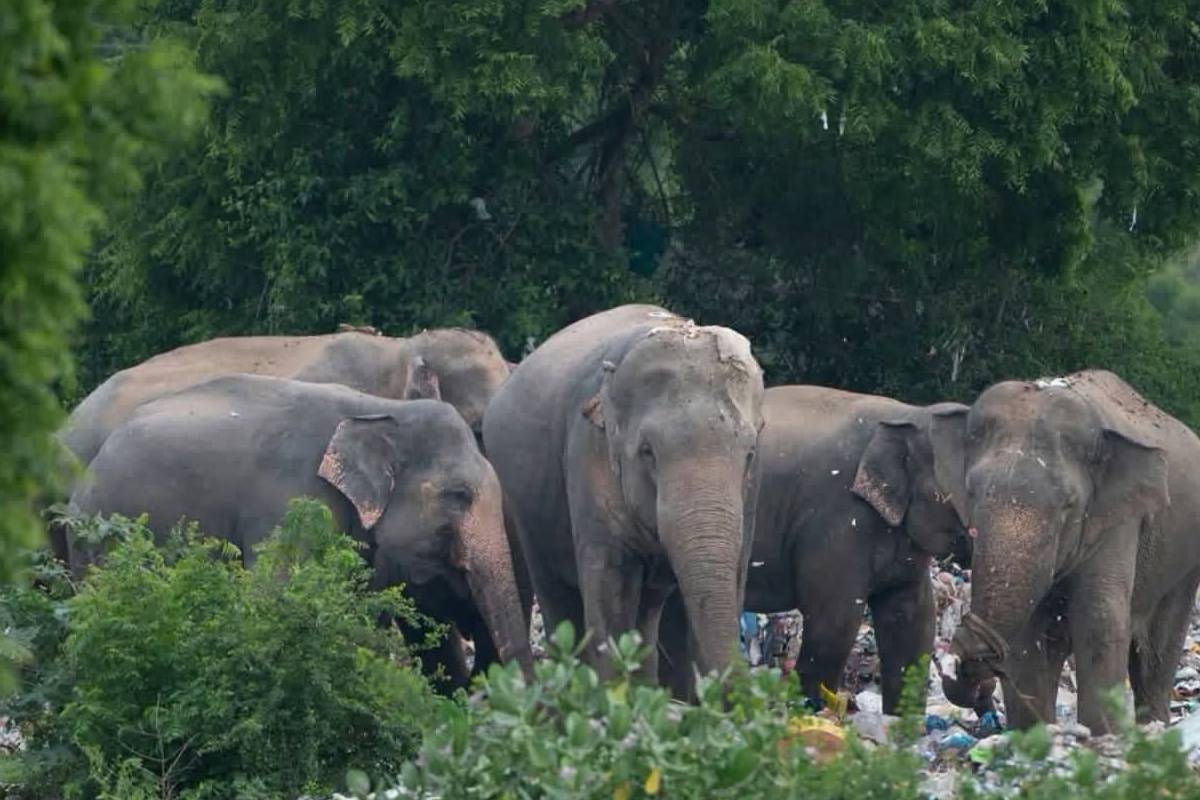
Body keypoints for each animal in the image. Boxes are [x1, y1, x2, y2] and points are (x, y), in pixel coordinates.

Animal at [483, 305, 765, 685]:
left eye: (749, 453)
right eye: (647, 452)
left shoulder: (751, 492)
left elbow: (728, 583)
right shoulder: (590, 457)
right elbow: (610, 595)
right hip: (523, 506)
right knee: (559, 597)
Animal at [937, 370, 1200, 733]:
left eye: (1068, 504)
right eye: (972, 491)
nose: (980, 683)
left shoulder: (1118, 520)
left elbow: (1099, 621)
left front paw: (1101, 736)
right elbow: (1027, 636)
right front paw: (1034, 735)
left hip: (1184, 564)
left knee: (1156, 652)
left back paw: (1154, 728)